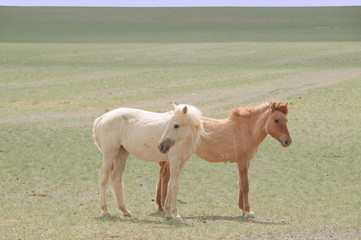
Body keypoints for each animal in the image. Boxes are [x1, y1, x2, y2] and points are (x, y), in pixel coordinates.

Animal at [155, 101, 290, 218]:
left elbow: (240, 184)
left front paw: (242, 209)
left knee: (162, 175)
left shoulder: (245, 162)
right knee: (166, 176)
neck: (246, 130)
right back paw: (165, 207)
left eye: (286, 120)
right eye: (276, 120)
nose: (287, 141)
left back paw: (160, 206)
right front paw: (248, 211)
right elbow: (245, 185)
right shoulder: (242, 162)